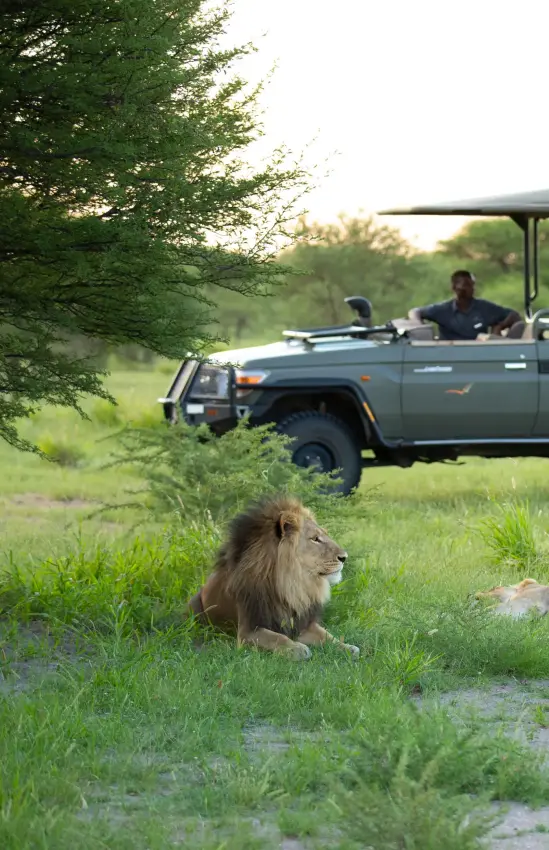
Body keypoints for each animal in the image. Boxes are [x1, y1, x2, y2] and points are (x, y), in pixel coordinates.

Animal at [185, 495, 360, 661]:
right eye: (315, 539)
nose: (344, 557)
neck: (290, 584)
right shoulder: (248, 631)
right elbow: (277, 637)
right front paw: (296, 648)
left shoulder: (302, 624)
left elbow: (328, 635)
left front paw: (347, 647)